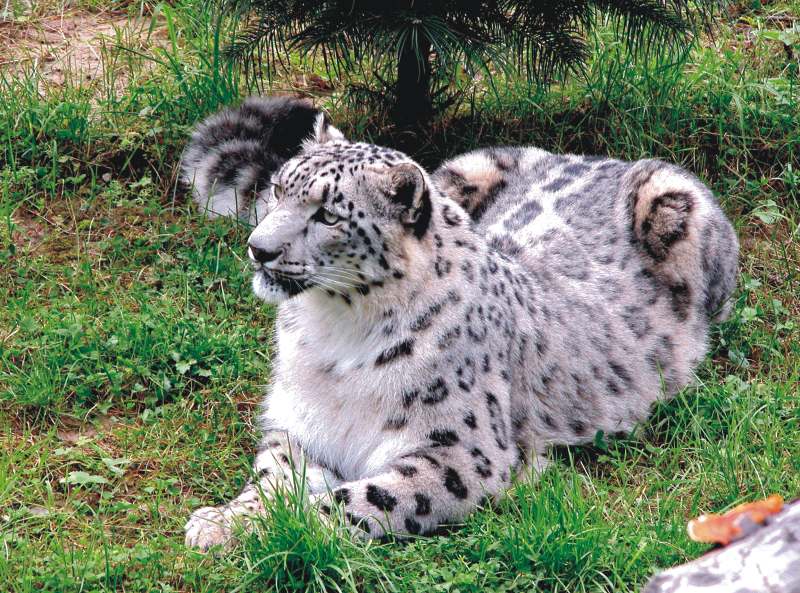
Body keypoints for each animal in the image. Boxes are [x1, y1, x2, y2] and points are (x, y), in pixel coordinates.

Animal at [181, 98, 738, 550]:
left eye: (330, 216)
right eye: (280, 189)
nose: (259, 248)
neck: (333, 335)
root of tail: (599, 157)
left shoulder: (459, 453)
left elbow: (362, 498)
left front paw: (282, 530)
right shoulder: (302, 427)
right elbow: (272, 478)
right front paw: (223, 522)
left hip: (678, 205)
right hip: (465, 167)